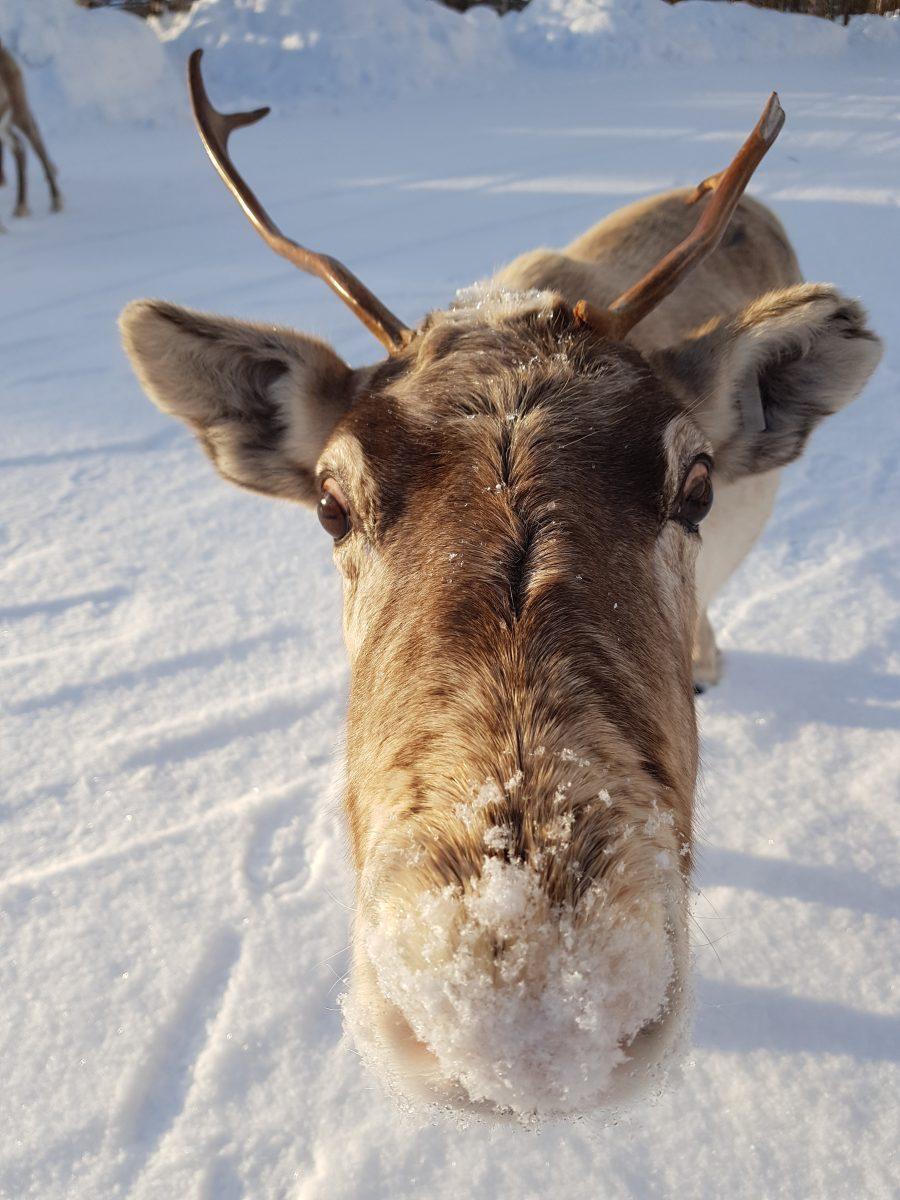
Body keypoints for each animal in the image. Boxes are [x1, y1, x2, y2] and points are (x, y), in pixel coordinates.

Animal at [0, 39, 63, 229]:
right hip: (6, 125)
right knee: (20, 148)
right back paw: (21, 206)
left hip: (18, 111)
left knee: (35, 143)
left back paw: (56, 201)